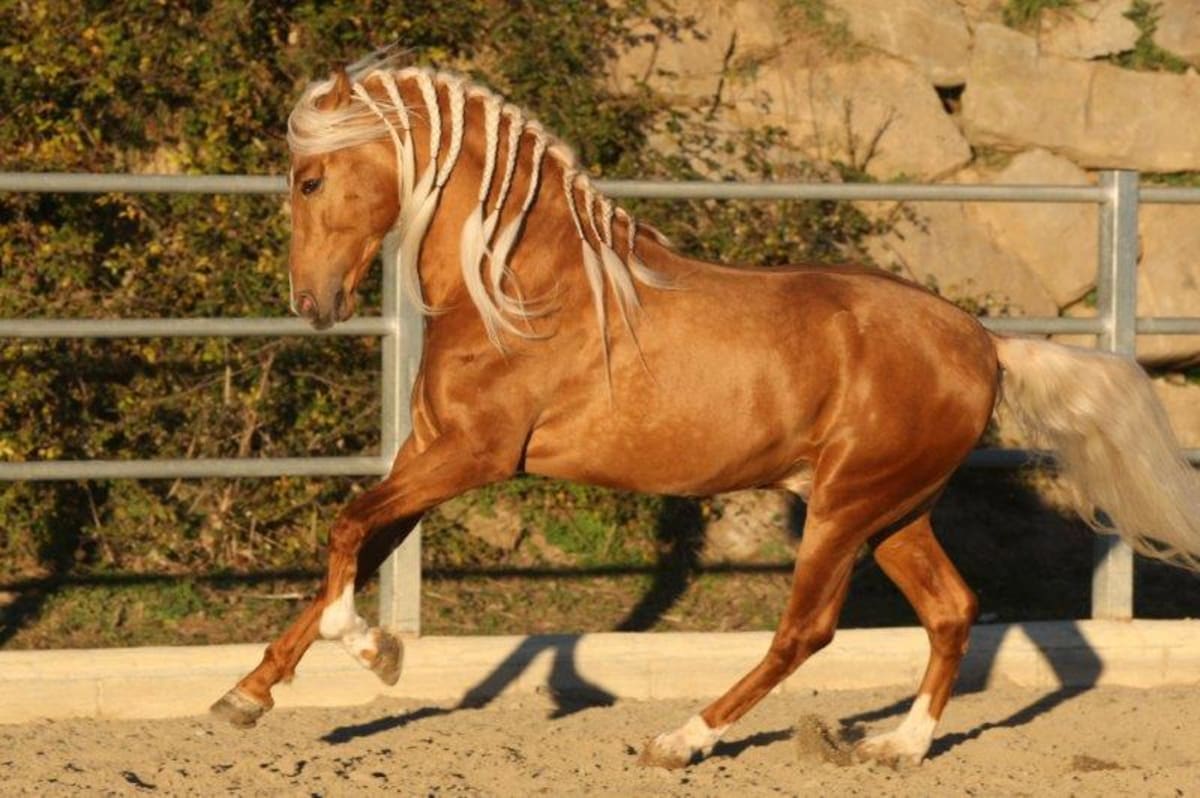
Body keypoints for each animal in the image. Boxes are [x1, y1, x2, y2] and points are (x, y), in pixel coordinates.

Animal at [210, 57, 1200, 768]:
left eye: (308, 181)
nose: (312, 302)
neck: (516, 290)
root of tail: (984, 343)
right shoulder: (425, 452)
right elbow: (353, 551)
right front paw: (246, 697)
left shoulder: (470, 457)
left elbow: (346, 533)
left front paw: (376, 653)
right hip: (895, 511)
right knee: (953, 610)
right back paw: (897, 747)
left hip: (846, 507)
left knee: (807, 630)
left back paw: (681, 739)